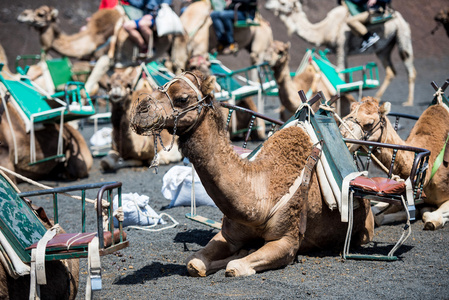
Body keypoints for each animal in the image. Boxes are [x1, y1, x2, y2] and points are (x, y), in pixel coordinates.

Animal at [129, 69, 372, 276]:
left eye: (181, 98)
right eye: (161, 86)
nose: (140, 111)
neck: (262, 192)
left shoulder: (287, 241)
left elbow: (235, 267)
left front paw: (240, 256)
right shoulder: (229, 233)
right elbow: (194, 263)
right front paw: (235, 253)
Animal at [262, 0, 416, 106]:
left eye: (283, 3)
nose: (267, 4)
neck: (324, 30)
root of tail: (398, 17)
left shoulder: (341, 46)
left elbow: (341, 73)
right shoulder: (342, 50)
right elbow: (344, 76)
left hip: (402, 34)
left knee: (410, 67)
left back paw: (408, 102)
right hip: (384, 49)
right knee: (390, 70)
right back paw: (378, 97)